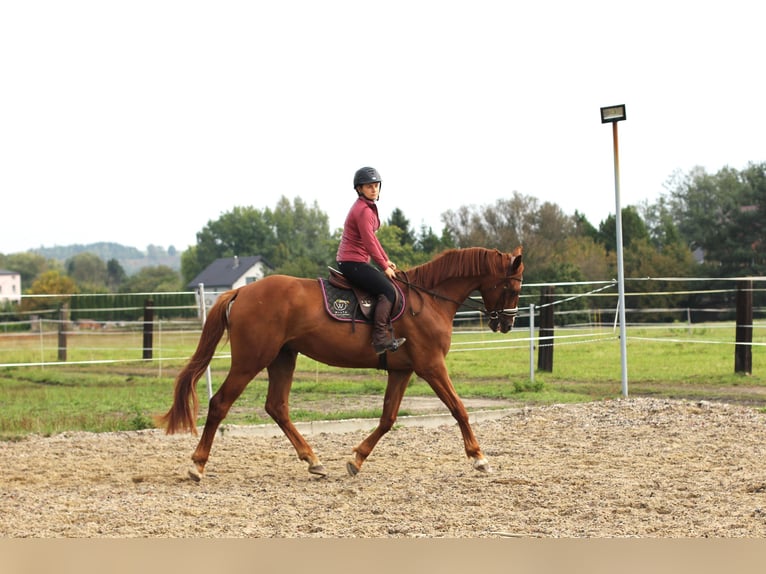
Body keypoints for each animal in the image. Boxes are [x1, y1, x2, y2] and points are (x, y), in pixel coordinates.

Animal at [159, 246, 524, 482]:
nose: (506, 324)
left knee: (277, 406)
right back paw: (197, 465)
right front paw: (479, 458)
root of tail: (243, 291)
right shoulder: (432, 366)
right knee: (220, 404)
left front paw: (356, 460)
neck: (428, 300)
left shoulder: (402, 370)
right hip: (251, 360)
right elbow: (459, 409)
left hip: (283, 358)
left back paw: (313, 461)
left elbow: (388, 418)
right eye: (511, 286)